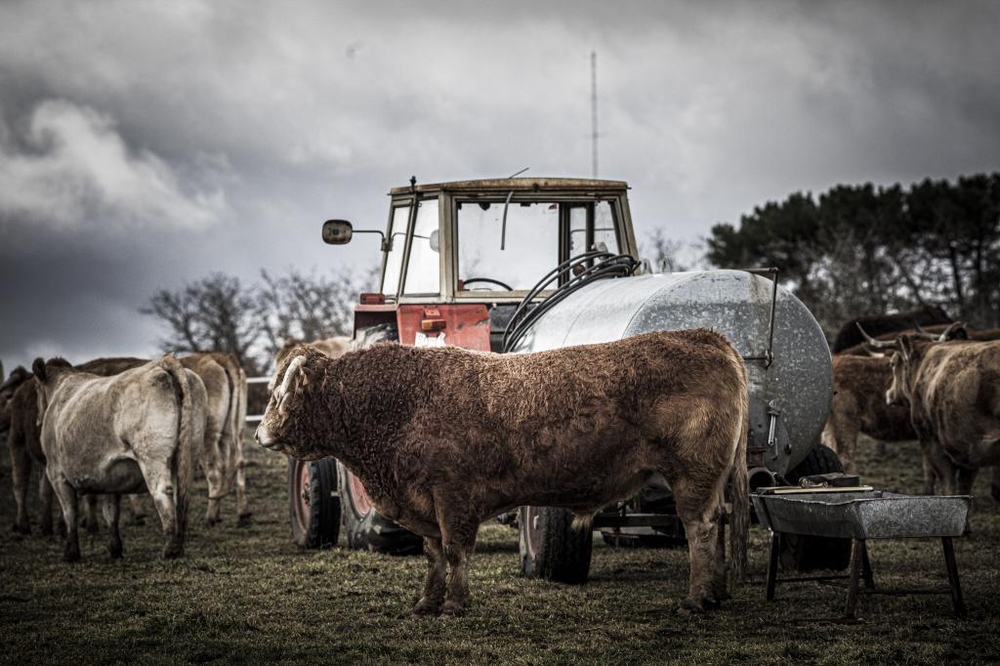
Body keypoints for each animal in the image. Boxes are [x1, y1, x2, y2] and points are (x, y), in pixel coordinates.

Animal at [34, 356, 204, 556]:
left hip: (152, 457)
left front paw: (71, 552)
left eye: (36, 388)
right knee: (181, 495)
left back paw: (170, 549)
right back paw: (179, 545)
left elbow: (70, 512)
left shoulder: (56, 473)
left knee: (162, 492)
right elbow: (111, 512)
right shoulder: (111, 475)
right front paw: (115, 548)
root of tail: (161, 363)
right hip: (188, 456)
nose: (37, 419)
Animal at [254, 330, 748, 616]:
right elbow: (434, 554)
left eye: (279, 396)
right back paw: (718, 592)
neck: (400, 404)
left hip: (692, 475)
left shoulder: (451, 495)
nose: (258, 432)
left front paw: (455, 604)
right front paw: (427, 602)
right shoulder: (424, 503)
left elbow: (456, 551)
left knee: (701, 529)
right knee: (719, 524)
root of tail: (706, 336)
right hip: (712, 479)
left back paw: (697, 598)